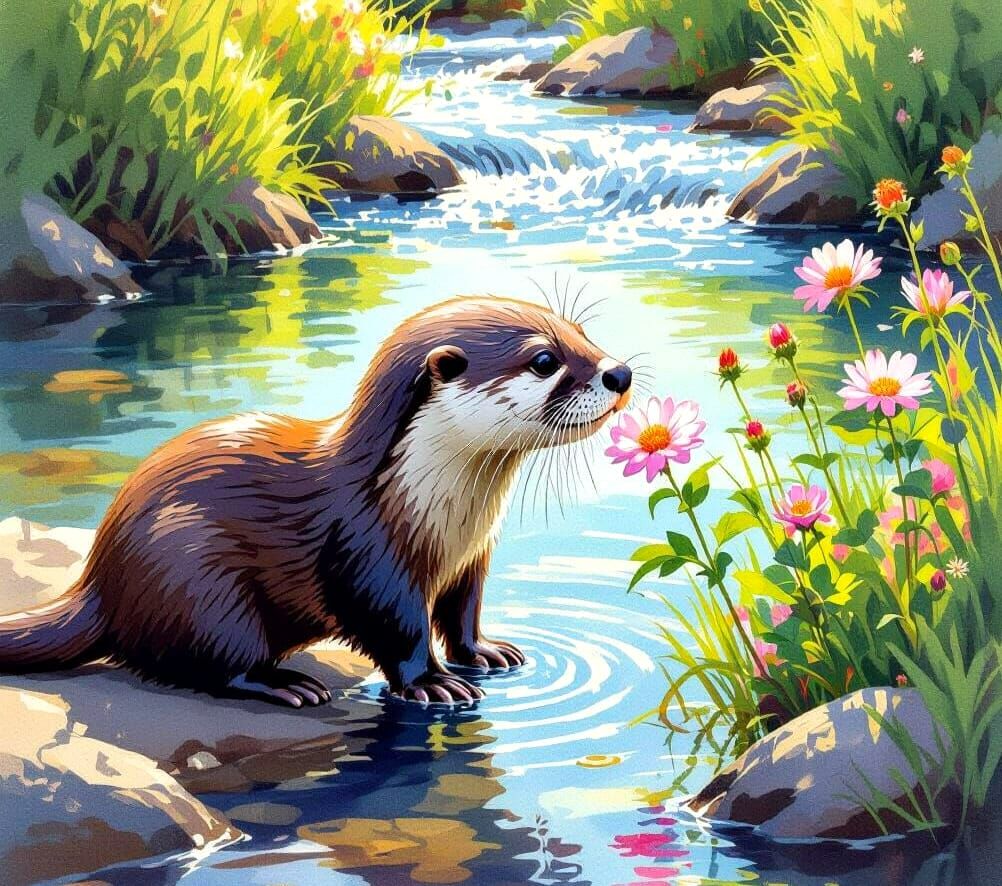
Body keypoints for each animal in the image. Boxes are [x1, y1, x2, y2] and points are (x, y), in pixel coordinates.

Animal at [0, 297, 633, 706]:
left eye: (580, 332)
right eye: (545, 360)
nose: (620, 372)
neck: (442, 515)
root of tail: (100, 577)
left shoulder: (472, 558)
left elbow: (462, 611)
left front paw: (484, 652)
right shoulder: (368, 554)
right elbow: (394, 627)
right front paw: (430, 682)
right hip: (195, 579)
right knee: (210, 662)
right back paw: (286, 684)